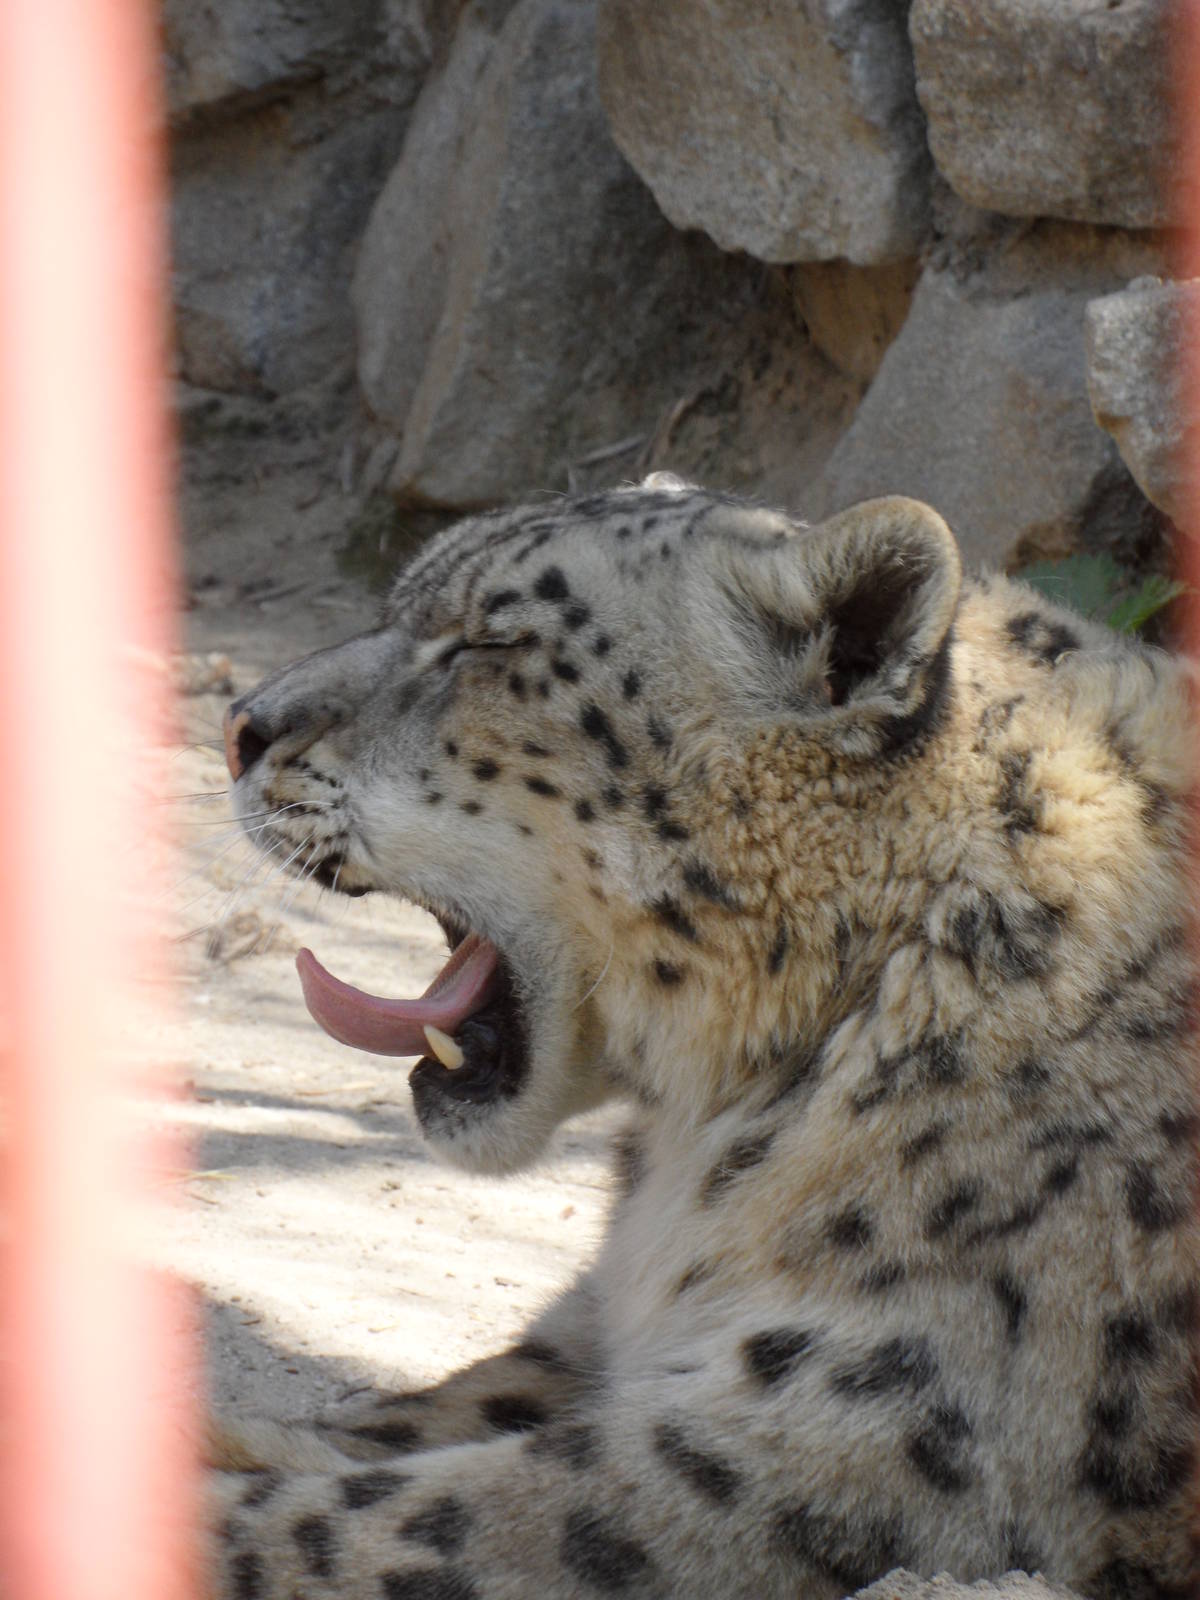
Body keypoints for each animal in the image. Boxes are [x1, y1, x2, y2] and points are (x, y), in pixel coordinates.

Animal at [214, 478, 1199, 1600]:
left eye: (490, 643)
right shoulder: (596, 1329)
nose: (239, 726)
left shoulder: (884, 1427)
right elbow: (435, 1409)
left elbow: (438, 1519)